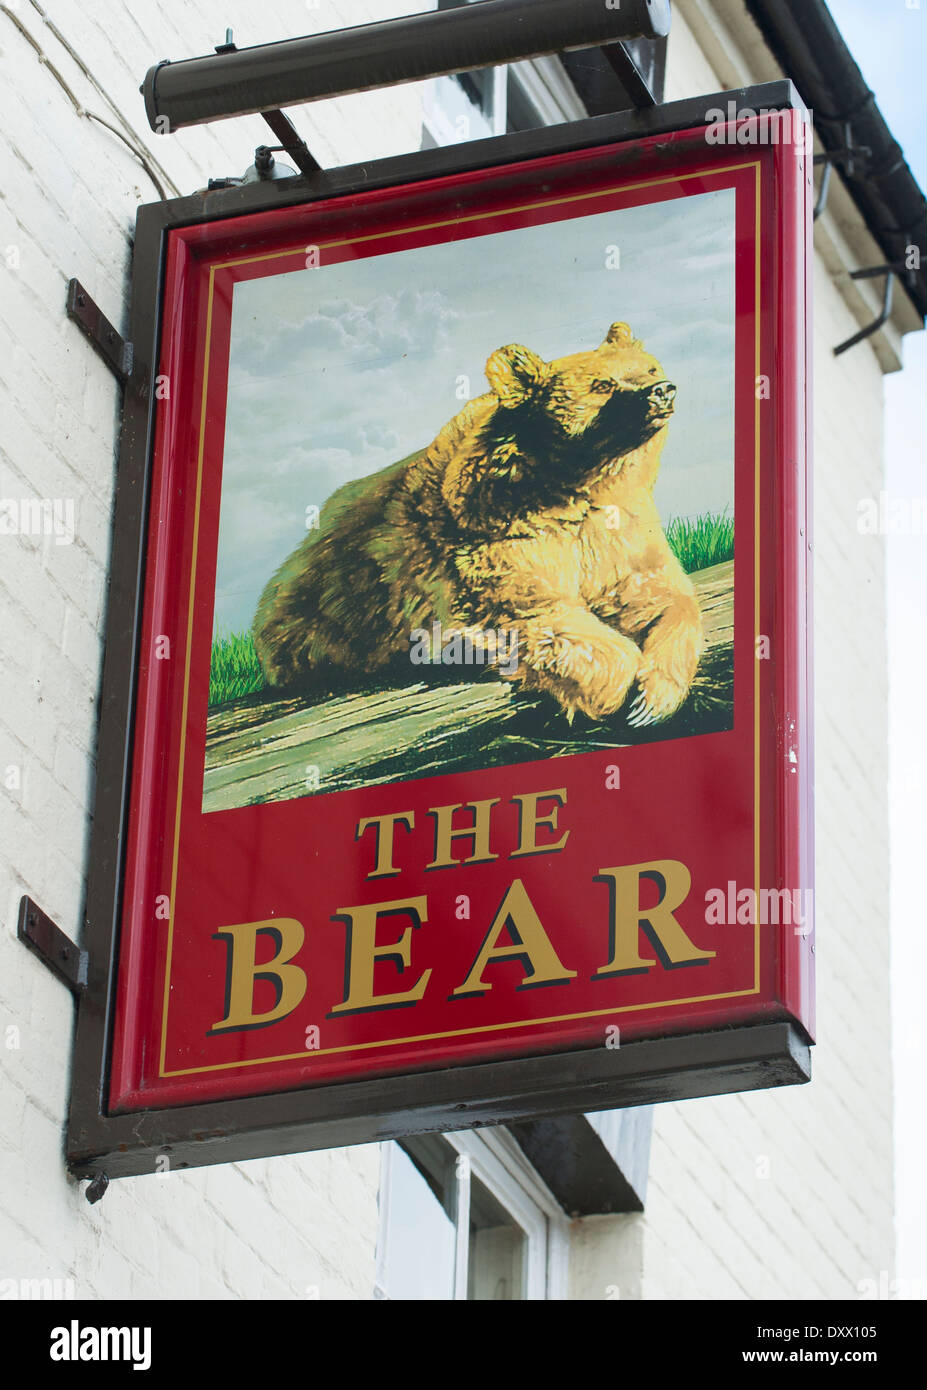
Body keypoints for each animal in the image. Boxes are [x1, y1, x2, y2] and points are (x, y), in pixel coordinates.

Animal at [254, 318, 703, 722]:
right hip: (315, 621)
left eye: (648, 368)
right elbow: (537, 615)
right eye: (602, 385)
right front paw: (618, 693)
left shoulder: (616, 534)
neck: (577, 483)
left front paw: (653, 699)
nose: (662, 390)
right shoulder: (500, 540)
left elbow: (663, 594)